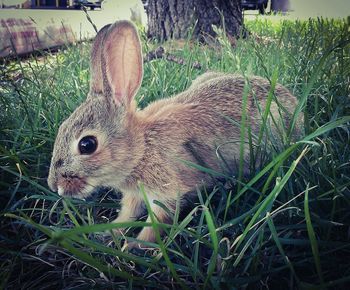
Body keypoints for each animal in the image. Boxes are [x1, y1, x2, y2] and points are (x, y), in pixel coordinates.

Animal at [47, 20, 302, 248]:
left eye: (87, 145)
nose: (54, 186)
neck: (142, 148)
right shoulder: (135, 196)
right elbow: (127, 215)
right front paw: (107, 233)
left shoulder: (168, 191)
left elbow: (158, 222)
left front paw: (135, 246)